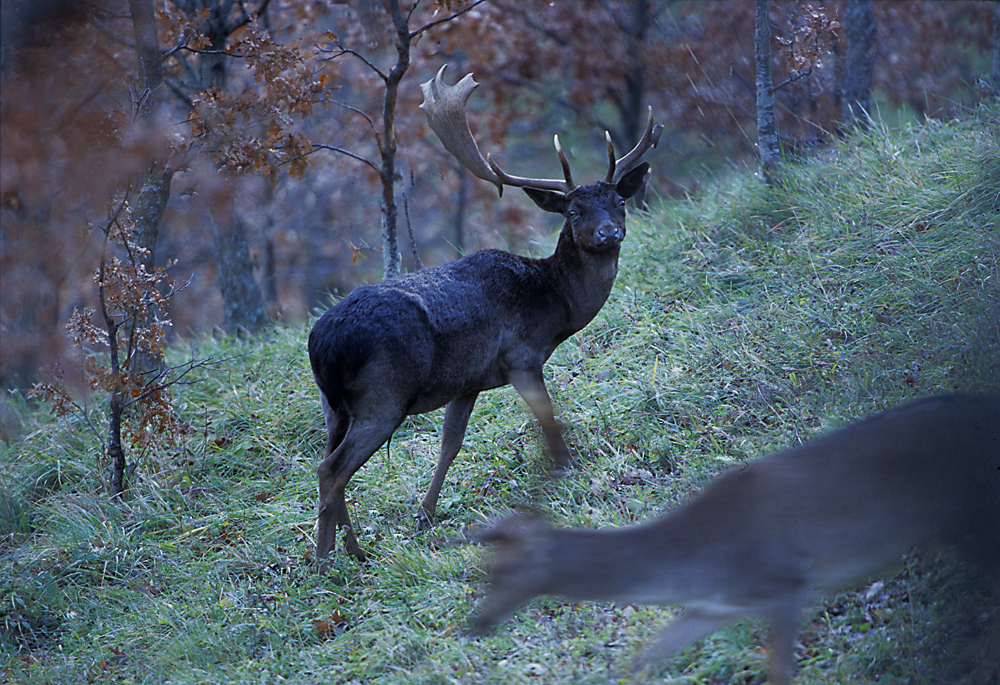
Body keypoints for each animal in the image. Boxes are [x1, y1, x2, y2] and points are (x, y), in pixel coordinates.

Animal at [304, 67, 664, 568]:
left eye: (620, 202)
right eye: (574, 210)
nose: (609, 233)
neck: (554, 306)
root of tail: (323, 341)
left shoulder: (468, 380)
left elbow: (450, 443)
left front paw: (426, 513)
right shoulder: (520, 356)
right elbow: (547, 418)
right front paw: (565, 468)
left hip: (331, 403)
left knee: (329, 459)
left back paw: (345, 550)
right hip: (383, 393)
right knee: (331, 468)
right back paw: (333, 559)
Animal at [470, 392, 1000, 684]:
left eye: (504, 570)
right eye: (485, 570)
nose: (477, 623)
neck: (694, 564)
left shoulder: (785, 584)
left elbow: (779, 672)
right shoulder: (713, 607)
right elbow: (645, 657)